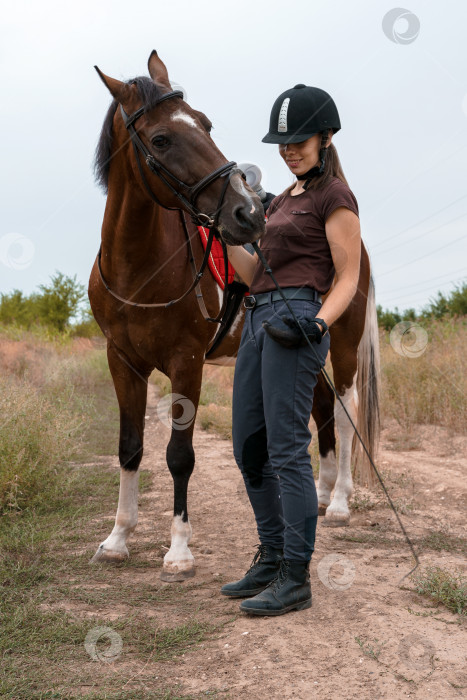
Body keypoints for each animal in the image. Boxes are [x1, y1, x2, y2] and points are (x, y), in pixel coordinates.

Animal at [89, 52, 382, 584]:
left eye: (205, 124)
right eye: (161, 139)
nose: (247, 215)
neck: (138, 268)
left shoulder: (185, 362)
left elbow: (179, 456)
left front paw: (179, 550)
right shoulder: (122, 361)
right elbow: (130, 448)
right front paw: (117, 539)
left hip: (346, 345)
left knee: (345, 411)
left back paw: (340, 502)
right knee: (322, 409)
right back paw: (322, 492)